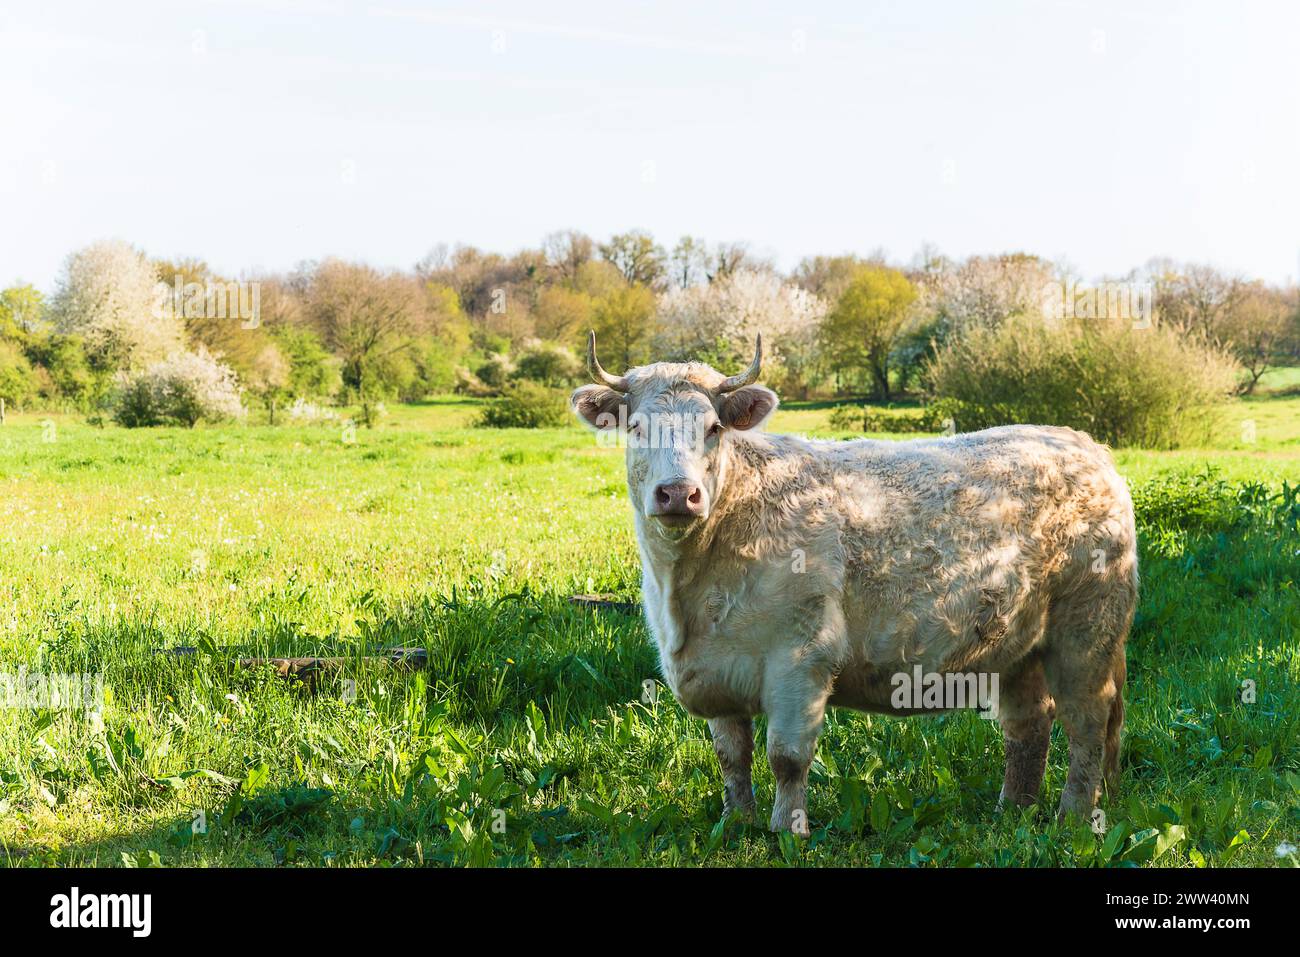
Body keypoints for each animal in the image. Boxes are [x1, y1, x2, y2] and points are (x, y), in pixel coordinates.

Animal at [571, 333, 1137, 835]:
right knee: (1030, 724)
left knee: (1087, 724)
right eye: (636, 427)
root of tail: (1086, 446)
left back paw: (1072, 818)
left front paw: (787, 830)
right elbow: (732, 756)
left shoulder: (801, 658)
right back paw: (1013, 810)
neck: (687, 592)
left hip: (1086, 633)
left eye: (713, 428)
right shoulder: (718, 672)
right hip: (1019, 646)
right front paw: (736, 823)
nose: (677, 493)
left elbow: (786, 758)